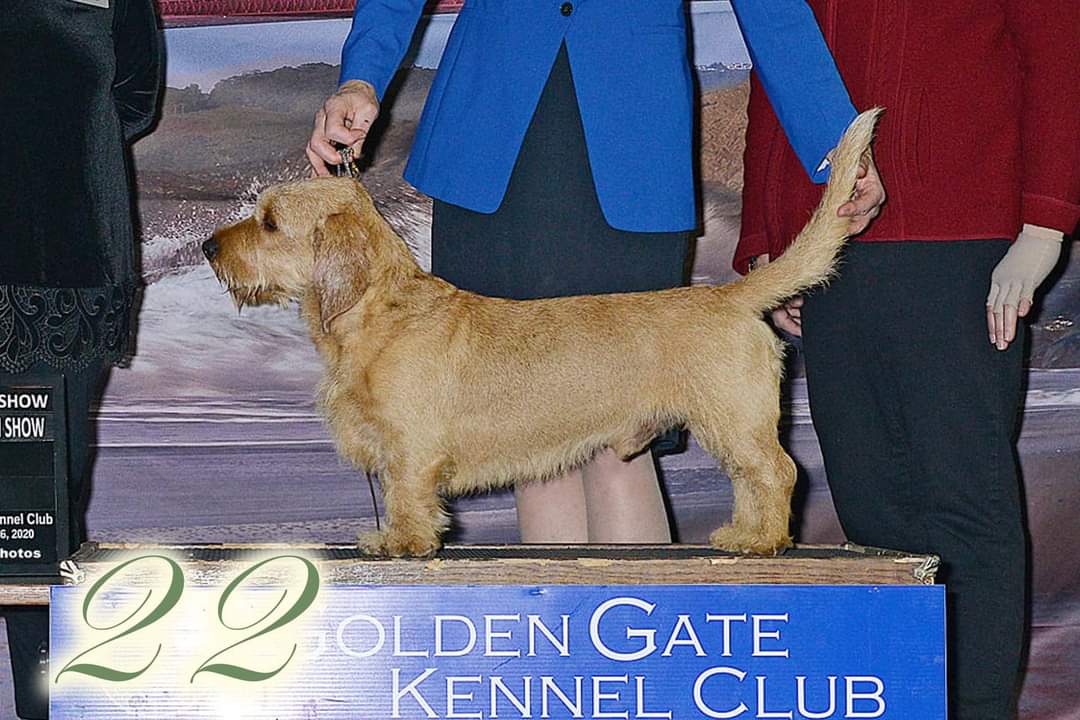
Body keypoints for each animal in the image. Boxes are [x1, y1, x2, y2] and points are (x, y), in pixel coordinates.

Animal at [204, 109, 881, 557]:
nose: (209, 247)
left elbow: (407, 496)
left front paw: (401, 543)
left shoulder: (410, 447)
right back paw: (742, 533)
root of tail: (728, 293)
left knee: (779, 473)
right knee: (750, 480)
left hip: (734, 418)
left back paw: (764, 542)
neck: (379, 310)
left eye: (269, 222)